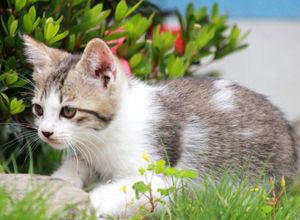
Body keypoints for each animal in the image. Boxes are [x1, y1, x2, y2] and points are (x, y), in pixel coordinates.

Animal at [24, 35, 300, 217]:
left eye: (68, 111)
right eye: (38, 109)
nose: (45, 132)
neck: (101, 139)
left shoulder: (158, 175)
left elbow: (114, 194)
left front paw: (80, 204)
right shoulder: (84, 156)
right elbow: (70, 173)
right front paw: (42, 196)